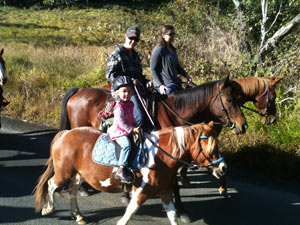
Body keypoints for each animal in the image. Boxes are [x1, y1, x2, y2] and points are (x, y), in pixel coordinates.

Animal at [34, 121, 225, 225]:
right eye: (210, 148)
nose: (223, 168)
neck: (161, 155)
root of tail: (65, 133)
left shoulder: (165, 193)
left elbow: (172, 217)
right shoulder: (141, 192)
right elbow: (130, 212)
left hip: (79, 174)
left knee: (72, 191)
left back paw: (79, 216)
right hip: (64, 172)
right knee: (51, 185)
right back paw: (48, 208)